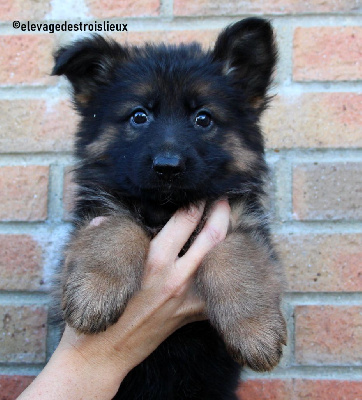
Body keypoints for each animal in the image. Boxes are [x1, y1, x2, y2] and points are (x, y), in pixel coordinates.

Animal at [52, 18, 288, 400]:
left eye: (203, 118)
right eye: (139, 116)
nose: (167, 166)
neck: (164, 208)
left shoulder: (244, 222)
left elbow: (235, 256)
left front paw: (255, 331)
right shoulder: (97, 212)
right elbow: (116, 230)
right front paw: (95, 292)